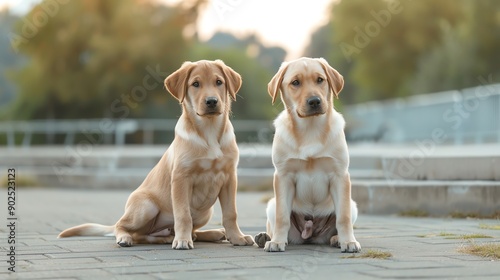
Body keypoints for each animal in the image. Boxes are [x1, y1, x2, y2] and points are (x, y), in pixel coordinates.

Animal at [59, 59, 254, 249]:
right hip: (146, 206)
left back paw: (210, 234)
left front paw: (237, 237)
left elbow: (231, 213)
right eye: (195, 84)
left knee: (186, 232)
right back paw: (130, 238)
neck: (209, 131)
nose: (212, 101)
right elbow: (183, 215)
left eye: (219, 82)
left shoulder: (229, 177)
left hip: (206, 211)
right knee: (127, 229)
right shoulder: (181, 177)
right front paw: (182, 241)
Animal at [258, 57, 360, 254]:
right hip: (271, 204)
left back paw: (337, 239)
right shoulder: (283, 176)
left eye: (320, 80)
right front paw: (276, 242)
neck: (310, 130)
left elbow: (343, 217)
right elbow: (282, 217)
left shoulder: (340, 175)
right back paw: (265, 237)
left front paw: (349, 242)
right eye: (295, 82)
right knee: (275, 221)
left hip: (352, 204)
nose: (314, 101)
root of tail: (310, 233)